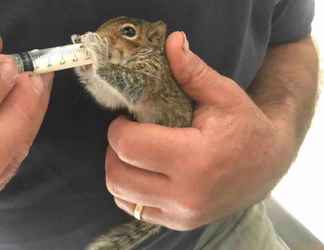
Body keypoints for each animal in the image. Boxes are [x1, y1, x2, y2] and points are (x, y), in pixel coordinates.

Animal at [72, 17, 194, 250]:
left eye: (129, 31)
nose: (98, 35)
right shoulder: (113, 95)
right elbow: (105, 96)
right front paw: (83, 57)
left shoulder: (150, 74)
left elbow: (131, 84)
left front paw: (98, 50)